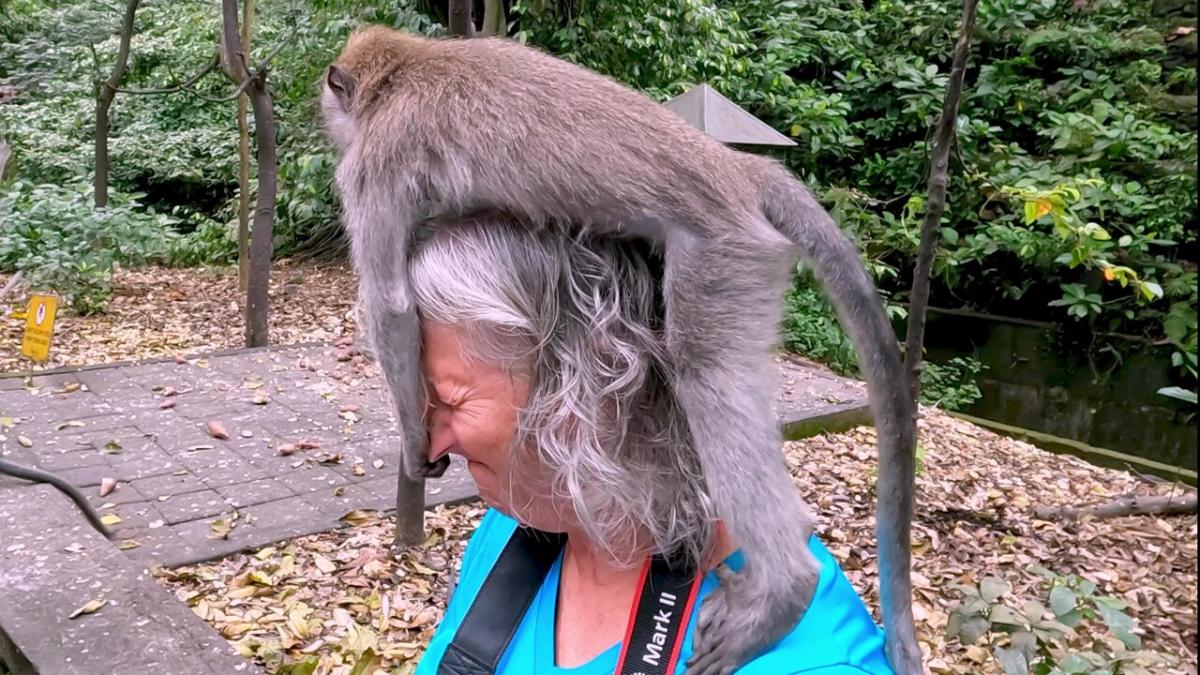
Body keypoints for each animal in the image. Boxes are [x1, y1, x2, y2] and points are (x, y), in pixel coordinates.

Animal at [319, 26, 916, 672]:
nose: (330, 117)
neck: (409, 64)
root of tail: (736, 166)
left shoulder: (373, 160)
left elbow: (391, 305)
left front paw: (414, 440)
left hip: (726, 249)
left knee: (704, 370)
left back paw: (786, 586)